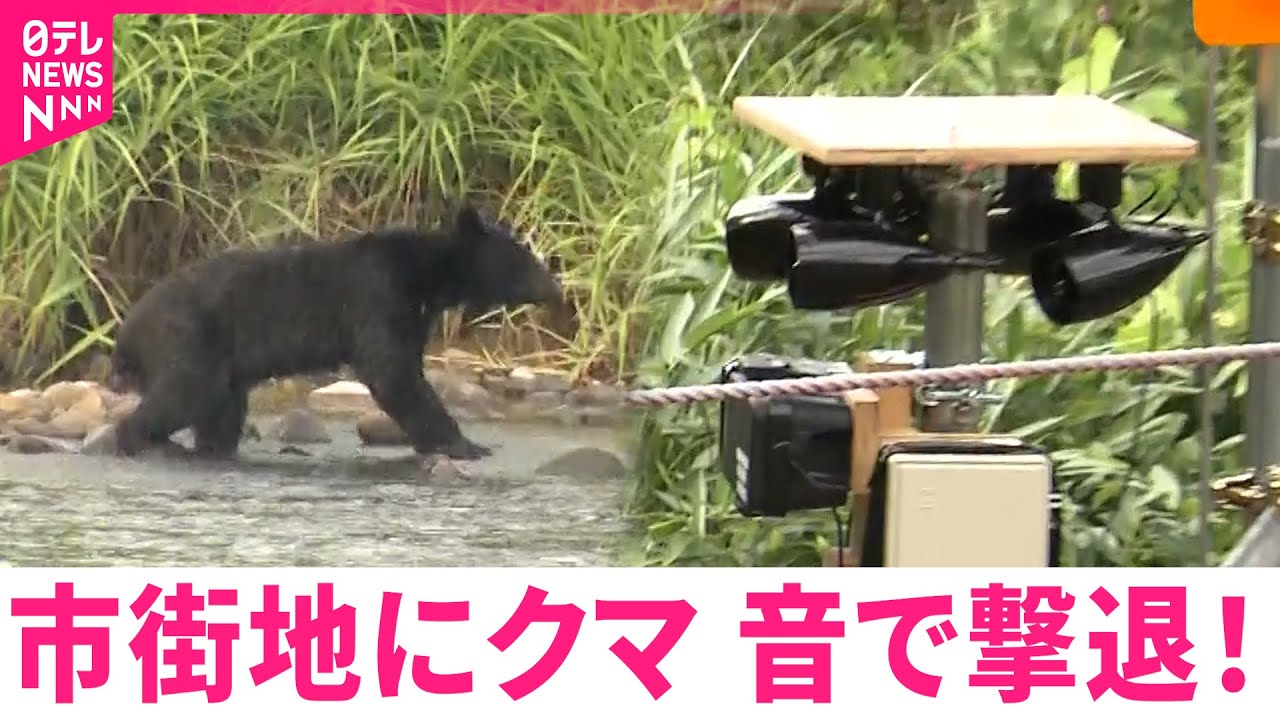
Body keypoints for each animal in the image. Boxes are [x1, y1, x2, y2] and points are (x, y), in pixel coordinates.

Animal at [106, 202, 563, 461]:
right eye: (524, 257)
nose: (556, 287)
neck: (428, 278)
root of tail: (127, 329)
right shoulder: (378, 298)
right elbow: (393, 374)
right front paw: (465, 444)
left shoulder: (411, 314)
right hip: (188, 337)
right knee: (185, 393)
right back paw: (138, 440)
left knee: (221, 410)